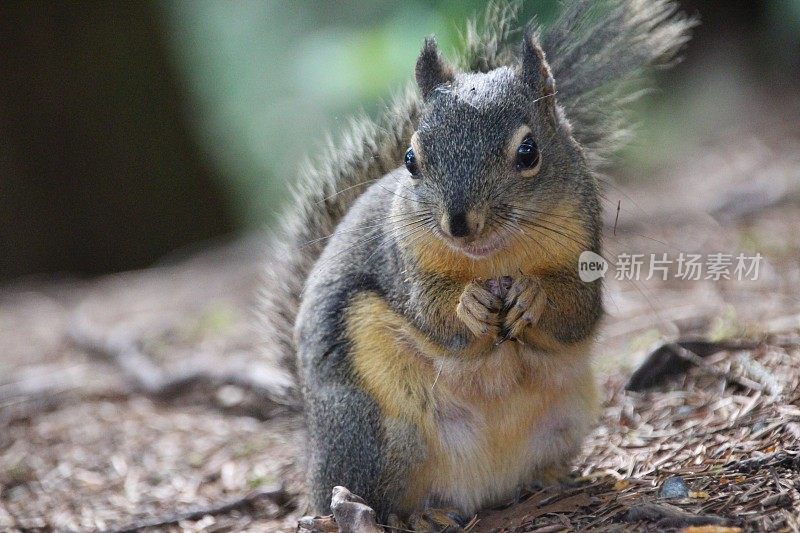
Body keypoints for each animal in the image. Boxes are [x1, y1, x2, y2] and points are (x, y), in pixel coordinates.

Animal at [258, 0, 692, 524]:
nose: (459, 224)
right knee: (373, 497)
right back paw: (413, 516)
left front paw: (533, 294)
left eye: (528, 152)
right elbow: (431, 314)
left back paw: (551, 479)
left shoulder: (584, 251)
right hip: (375, 436)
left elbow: (577, 313)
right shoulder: (401, 265)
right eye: (410, 158)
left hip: (568, 418)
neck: (494, 261)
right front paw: (467, 305)